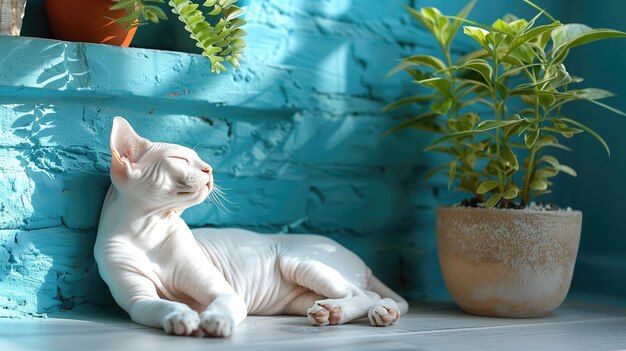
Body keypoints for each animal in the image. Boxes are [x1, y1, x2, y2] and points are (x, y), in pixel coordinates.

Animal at [92, 117, 404, 336]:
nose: (209, 169)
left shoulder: (225, 292)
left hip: (299, 261)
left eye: (200, 160)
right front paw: (181, 316)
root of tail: (364, 264)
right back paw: (334, 312)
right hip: (296, 299)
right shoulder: (139, 300)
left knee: (367, 294)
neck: (149, 230)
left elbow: (223, 303)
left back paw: (358, 310)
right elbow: (161, 304)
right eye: (180, 159)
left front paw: (215, 321)